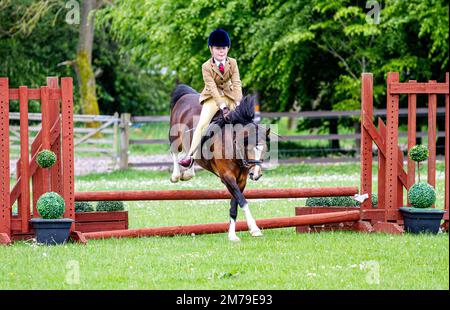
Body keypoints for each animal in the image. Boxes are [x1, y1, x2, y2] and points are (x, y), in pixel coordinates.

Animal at [169, 85, 270, 242]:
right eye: (249, 148)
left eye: (264, 149)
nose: (256, 174)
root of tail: (186, 95)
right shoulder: (227, 177)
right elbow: (243, 201)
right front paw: (254, 229)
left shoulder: (240, 180)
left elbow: (235, 205)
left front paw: (232, 235)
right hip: (174, 135)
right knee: (175, 151)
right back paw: (175, 175)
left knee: (189, 151)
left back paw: (187, 173)